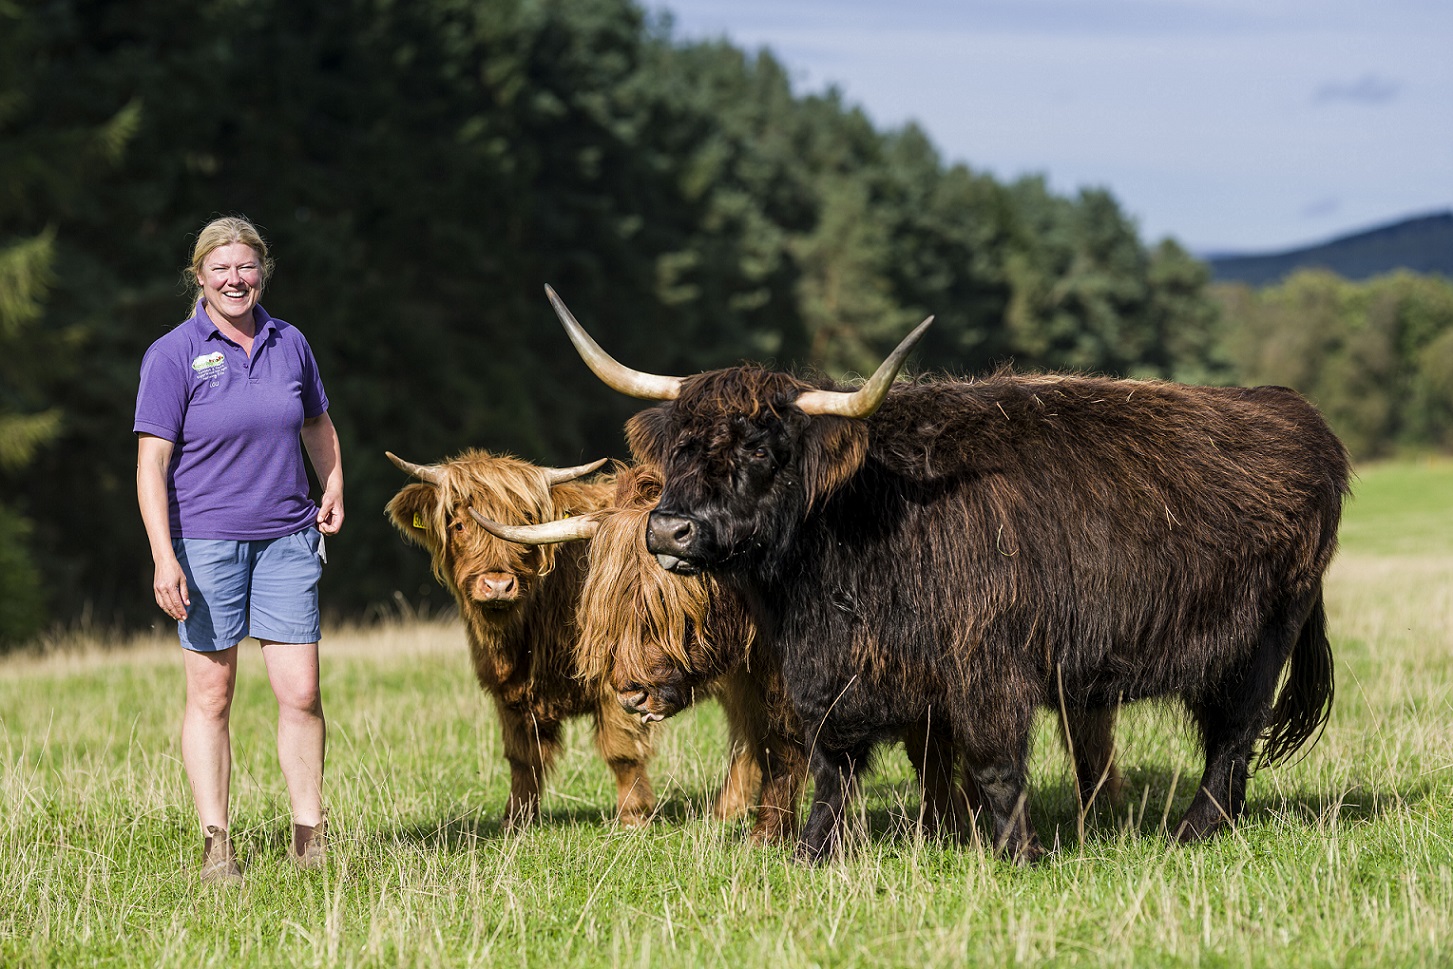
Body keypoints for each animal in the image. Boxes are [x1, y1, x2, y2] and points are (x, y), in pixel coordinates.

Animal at [546, 286, 1348, 865]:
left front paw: (1017, 856)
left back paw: (1194, 831)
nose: (667, 530)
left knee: (1233, 737)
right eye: (680, 448)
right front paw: (809, 854)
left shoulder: (988, 665)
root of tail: (1292, 412)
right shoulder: (827, 672)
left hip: (1258, 643)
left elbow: (995, 764)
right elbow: (830, 767)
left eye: (761, 449)